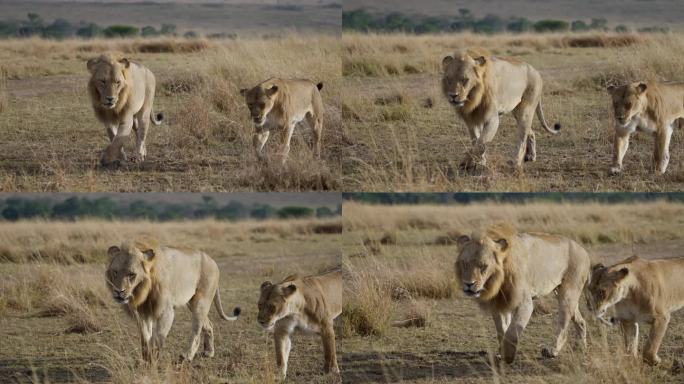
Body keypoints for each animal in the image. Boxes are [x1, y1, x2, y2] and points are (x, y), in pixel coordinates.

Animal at [103, 237, 239, 364]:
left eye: (132, 274)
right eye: (115, 272)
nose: (118, 291)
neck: (142, 291)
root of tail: (212, 261)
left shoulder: (166, 312)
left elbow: (157, 339)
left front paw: (152, 361)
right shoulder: (142, 313)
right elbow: (145, 339)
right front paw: (145, 360)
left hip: (201, 301)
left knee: (196, 329)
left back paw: (187, 356)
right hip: (192, 303)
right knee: (208, 324)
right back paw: (208, 352)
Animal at [454, 224, 588, 362]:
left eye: (483, 266)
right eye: (465, 264)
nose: (468, 284)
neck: (498, 281)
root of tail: (583, 250)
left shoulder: (524, 303)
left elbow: (512, 331)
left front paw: (508, 356)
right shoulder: (498, 303)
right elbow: (502, 329)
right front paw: (501, 352)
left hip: (568, 293)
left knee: (563, 325)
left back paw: (552, 351)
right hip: (565, 294)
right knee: (581, 320)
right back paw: (581, 347)